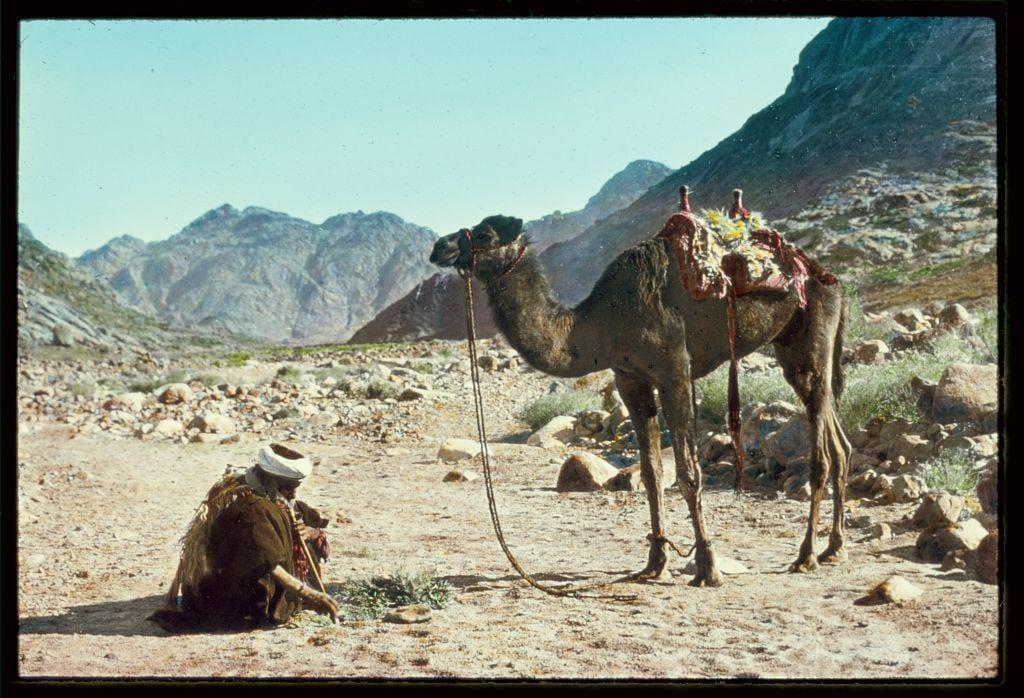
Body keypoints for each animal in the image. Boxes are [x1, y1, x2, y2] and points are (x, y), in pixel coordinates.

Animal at [429, 198, 851, 587]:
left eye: (485, 233)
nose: (440, 247)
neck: (601, 322)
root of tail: (825, 275)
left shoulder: (674, 371)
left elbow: (688, 473)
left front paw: (707, 567)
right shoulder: (630, 379)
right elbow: (650, 472)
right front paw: (654, 563)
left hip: (809, 336)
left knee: (820, 453)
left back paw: (806, 556)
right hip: (792, 347)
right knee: (839, 441)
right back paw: (833, 547)